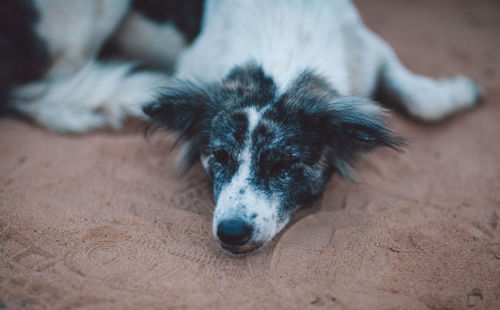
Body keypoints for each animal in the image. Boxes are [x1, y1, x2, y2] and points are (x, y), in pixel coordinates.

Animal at [2, 0, 480, 256]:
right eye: (218, 157)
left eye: (285, 164)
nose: (231, 233)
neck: (283, 41)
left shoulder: (364, 43)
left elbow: (417, 97)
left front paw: (453, 93)